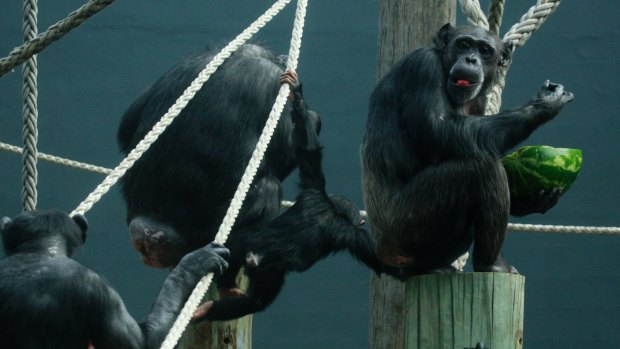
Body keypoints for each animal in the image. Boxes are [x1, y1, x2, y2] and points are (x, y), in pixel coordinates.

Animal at [190, 70, 392, 320]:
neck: (334, 211)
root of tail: (256, 257)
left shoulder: (312, 188)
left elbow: (307, 151)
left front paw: (296, 97)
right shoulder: (354, 235)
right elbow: (382, 263)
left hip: (249, 249)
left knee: (248, 284)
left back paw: (209, 305)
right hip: (272, 271)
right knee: (259, 299)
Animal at [360, 24, 572, 274]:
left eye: (484, 51)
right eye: (463, 44)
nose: (471, 59)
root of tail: (384, 254)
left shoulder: (479, 101)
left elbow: (476, 137)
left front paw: (530, 201)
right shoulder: (423, 67)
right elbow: (442, 129)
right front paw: (544, 103)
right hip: (407, 229)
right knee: (481, 169)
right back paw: (491, 264)